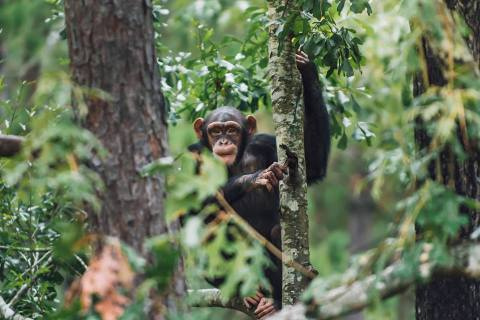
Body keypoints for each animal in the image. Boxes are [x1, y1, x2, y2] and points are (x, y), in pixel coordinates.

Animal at [188, 52, 330, 318]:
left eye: (232, 130)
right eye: (215, 131)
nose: (224, 141)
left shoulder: (266, 143)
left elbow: (312, 166)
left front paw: (308, 71)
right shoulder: (192, 155)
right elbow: (188, 204)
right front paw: (256, 178)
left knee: (275, 233)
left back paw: (276, 301)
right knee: (205, 235)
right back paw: (246, 291)